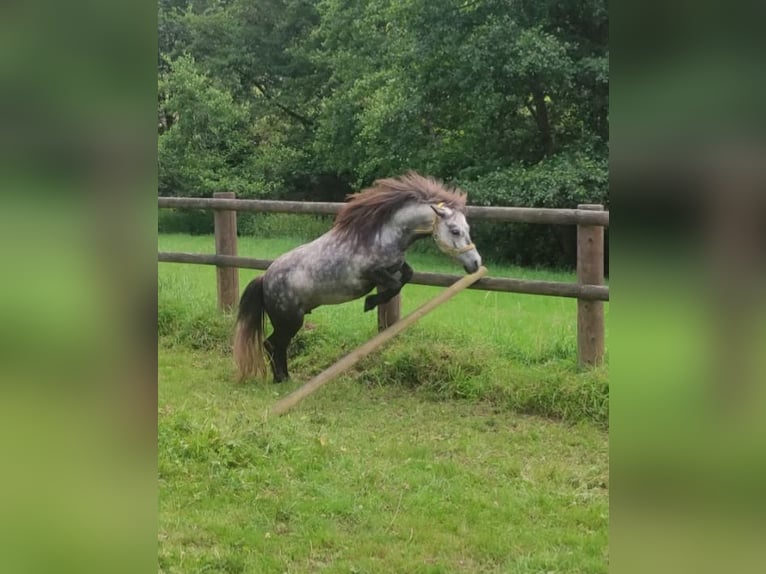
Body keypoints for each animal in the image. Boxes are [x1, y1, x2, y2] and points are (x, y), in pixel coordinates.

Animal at [237, 173, 484, 384]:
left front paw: (373, 301)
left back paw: (284, 378)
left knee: (277, 345)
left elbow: (406, 276)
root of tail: (265, 278)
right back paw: (282, 379)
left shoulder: (395, 266)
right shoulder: (369, 273)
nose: (476, 263)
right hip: (290, 319)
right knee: (273, 344)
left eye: (467, 228)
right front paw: (369, 303)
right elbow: (393, 285)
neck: (380, 235)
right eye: (455, 230)